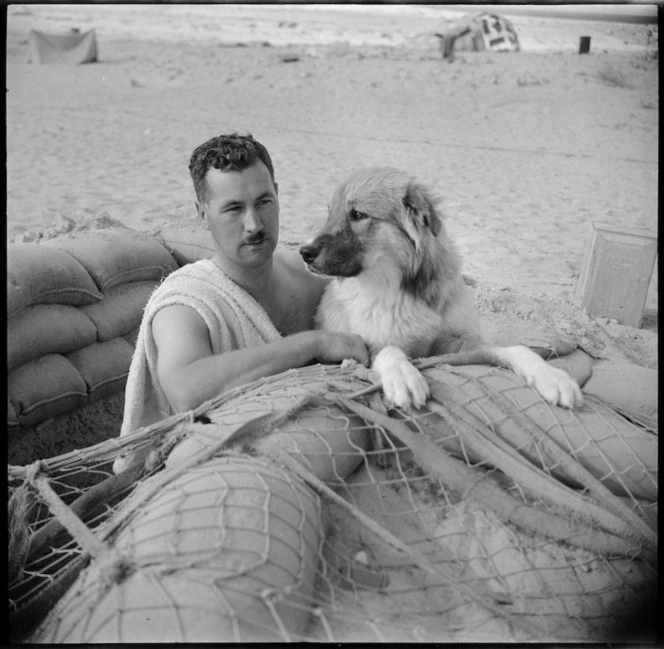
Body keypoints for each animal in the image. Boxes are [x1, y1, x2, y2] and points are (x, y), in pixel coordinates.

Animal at [298, 167, 584, 410]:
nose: (304, 252)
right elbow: (390, 350)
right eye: (329, 213)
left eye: (357, 214)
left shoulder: (457, 345)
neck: (405, 289)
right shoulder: (368, 347)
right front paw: (403, 376)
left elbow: (517, 349)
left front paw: (552, 377)